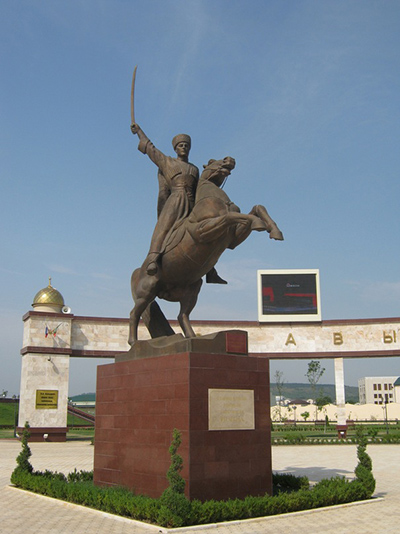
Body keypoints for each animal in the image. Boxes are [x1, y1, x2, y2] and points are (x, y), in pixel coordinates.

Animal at [128, 157, 282, 346]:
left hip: (193, 289)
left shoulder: (232, 240)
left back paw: (192, 338)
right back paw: (134, 342)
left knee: (182, 315)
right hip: (147, 292)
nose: (229, 160)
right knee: (134, 313)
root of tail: (139, 271)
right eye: (211, 161)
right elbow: (232, 216)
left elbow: (257, 207)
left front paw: (274, 231)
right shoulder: (203, 231)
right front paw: (259, 224)